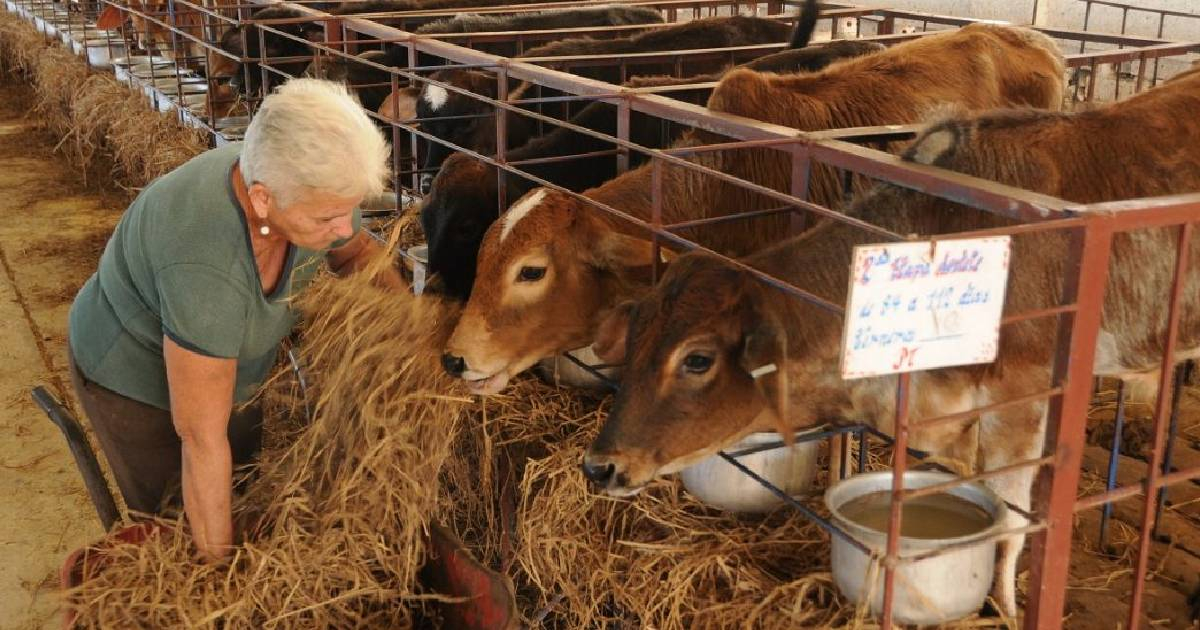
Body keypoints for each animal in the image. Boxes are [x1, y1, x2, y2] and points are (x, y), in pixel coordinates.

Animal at [580, 63, 1200, 614]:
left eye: (698, 359)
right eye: (635, 338)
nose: (599, 465)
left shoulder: (1022, 400)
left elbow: (1012, 523)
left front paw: (1003, 607)